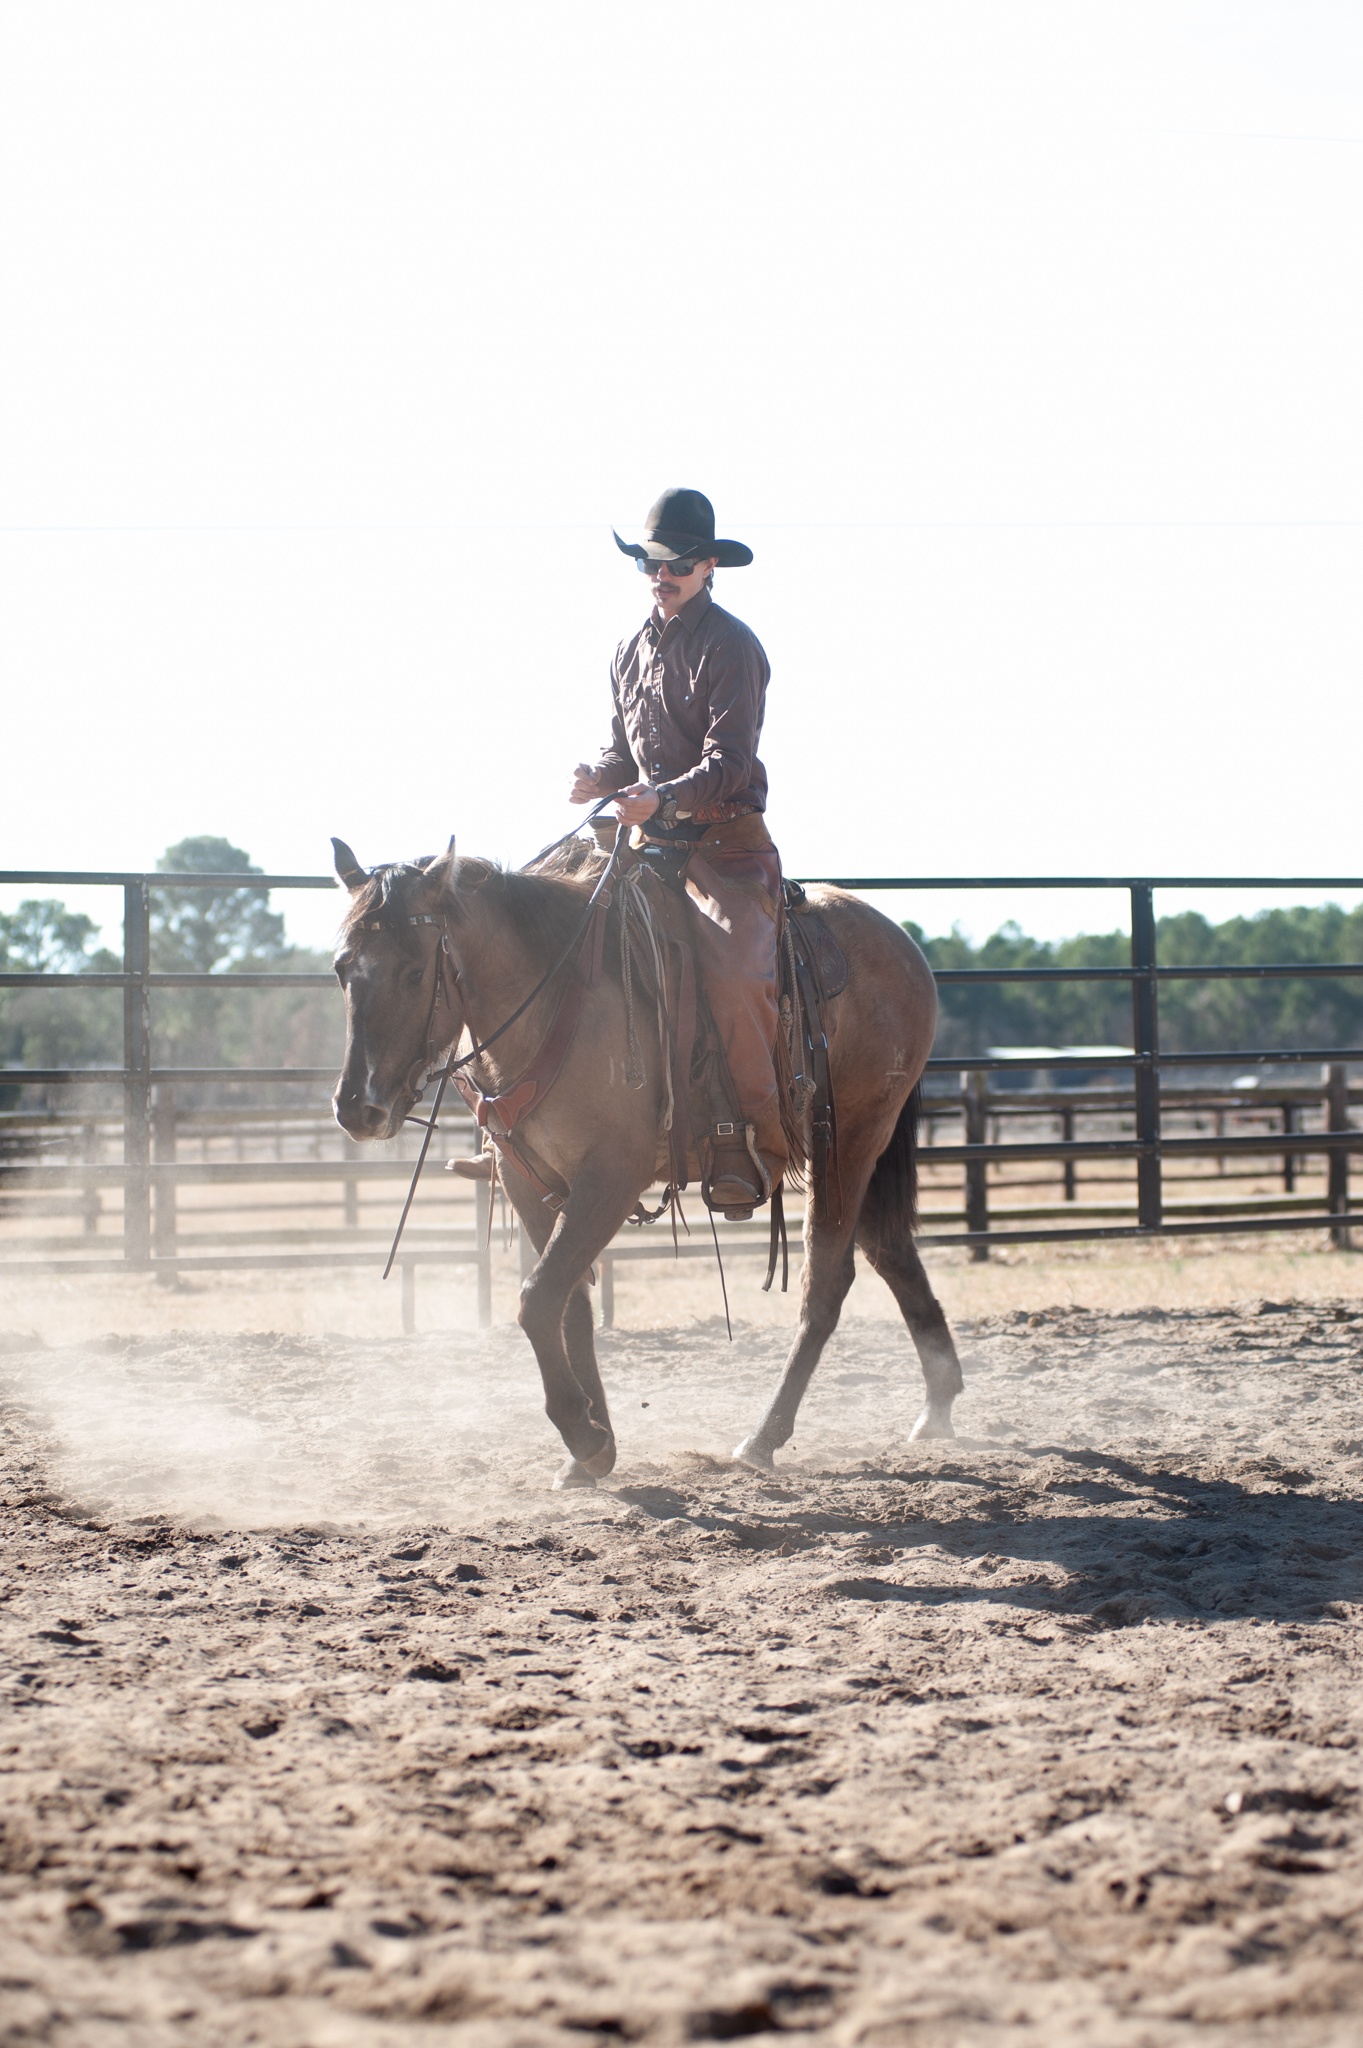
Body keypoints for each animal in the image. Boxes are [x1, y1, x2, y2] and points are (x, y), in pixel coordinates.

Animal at [329, 836, 964, 1488]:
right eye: (341, 969)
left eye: (414, 971)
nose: (357, 1108)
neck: (551, 999)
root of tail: (901, 946)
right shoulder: (529, 1180)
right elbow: (569, 1305)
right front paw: (593, 1450)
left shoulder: (611, 1177)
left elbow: (538, 1299)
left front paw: (582, 1434)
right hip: (851, 1154)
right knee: (891, 1251)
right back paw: (937, 1407)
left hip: (851, 1141)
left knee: (827, 1283)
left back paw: (764, 1437)